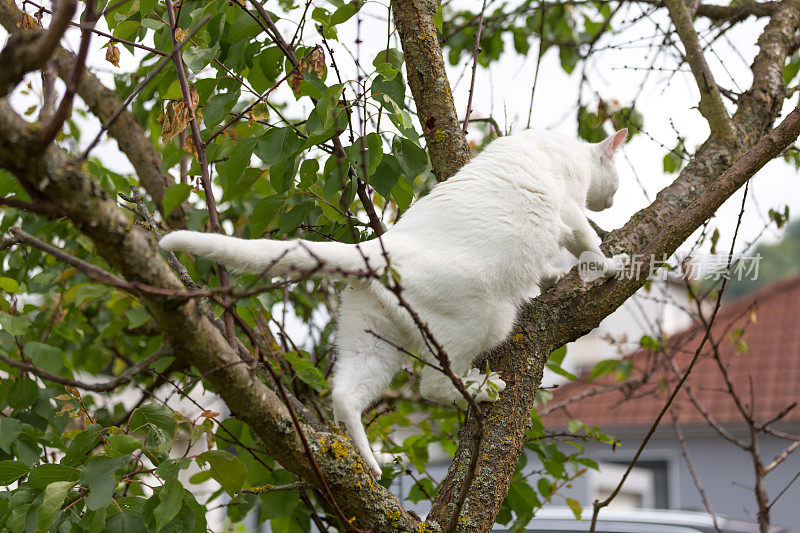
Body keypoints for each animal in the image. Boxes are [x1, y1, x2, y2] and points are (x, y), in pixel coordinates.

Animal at [158, 128, 632, 474]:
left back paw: (372, 461)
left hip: (373, 346)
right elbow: (589, 246)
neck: (564, 147)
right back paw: (482, 389)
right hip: (483, 322)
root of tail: (376, 250)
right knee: (433, 386)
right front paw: (613, 266)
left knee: (345, 396)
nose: (612, 200)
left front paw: (550, 278)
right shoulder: (570, 213)